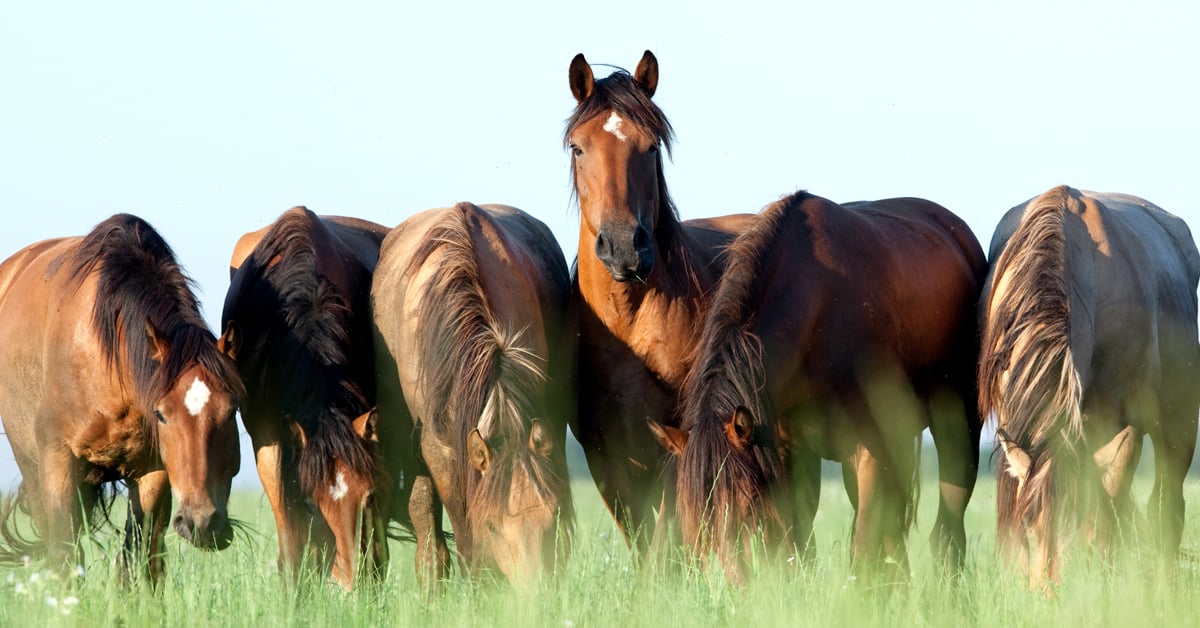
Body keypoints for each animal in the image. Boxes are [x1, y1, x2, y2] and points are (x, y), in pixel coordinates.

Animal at [0, 214, 243, 585]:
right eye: (162, 414)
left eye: (232, 412)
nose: (202, 523)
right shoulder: (57, 459)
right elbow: (63, 554)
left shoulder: (153, 471)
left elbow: (138, 557)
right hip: (32, 466)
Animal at [566, 50, 753, 549]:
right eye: (578, 147)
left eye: (650, 147)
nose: (624, 246)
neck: (629, 322)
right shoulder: (605, 453)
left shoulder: (676, 439)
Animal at [652, 192, 988, 585]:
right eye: (692, 518)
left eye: (747, 505)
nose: (734, 587)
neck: (817, 312)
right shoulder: (790, 454)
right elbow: (799, 543)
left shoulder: (869, 451)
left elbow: (862, 550)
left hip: (958, 429)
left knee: (949, 522)